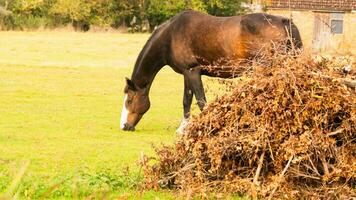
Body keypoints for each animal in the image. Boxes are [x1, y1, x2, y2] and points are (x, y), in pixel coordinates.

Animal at [121, 9, 302, 132]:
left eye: (129, 99)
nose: (124, 126)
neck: (171, 36)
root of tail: (284, 21)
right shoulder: (187, 73)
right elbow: (187, 100)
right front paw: (183, 128)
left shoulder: (192, 71)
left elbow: (201, 101)